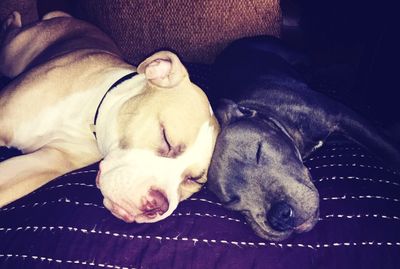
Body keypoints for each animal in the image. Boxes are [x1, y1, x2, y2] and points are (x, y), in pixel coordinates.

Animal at [0, 11, 219, 222]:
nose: (157, 205)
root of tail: (70, 18)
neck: (89, 116)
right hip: (12, 54)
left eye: (194, 180)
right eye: (166, 137)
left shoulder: (46, 162)